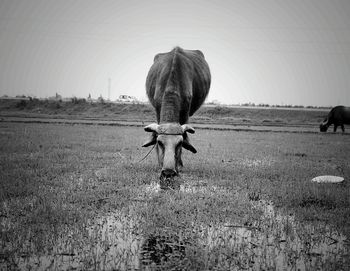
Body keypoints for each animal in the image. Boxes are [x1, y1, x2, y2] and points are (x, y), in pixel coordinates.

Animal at [142, 47, 211, 183]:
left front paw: (179, 165)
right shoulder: (158, 108)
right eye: (160, 143)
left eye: (179, 144)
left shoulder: (185, 111)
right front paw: (160, 164)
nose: (168, 172)